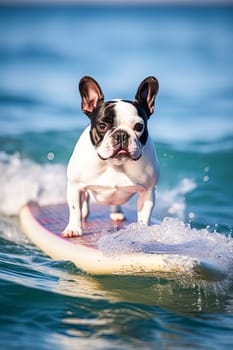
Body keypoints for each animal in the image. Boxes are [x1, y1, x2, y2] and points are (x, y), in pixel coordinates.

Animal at [62, 75, 160, 237]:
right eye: (102, 126)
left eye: (139, 126)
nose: (121, 134)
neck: (115, 164)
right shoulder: (75, 186)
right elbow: (75, 209)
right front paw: (73, 229)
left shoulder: (147, 191)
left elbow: (145, 215)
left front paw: (141, 231)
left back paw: (117, 212)